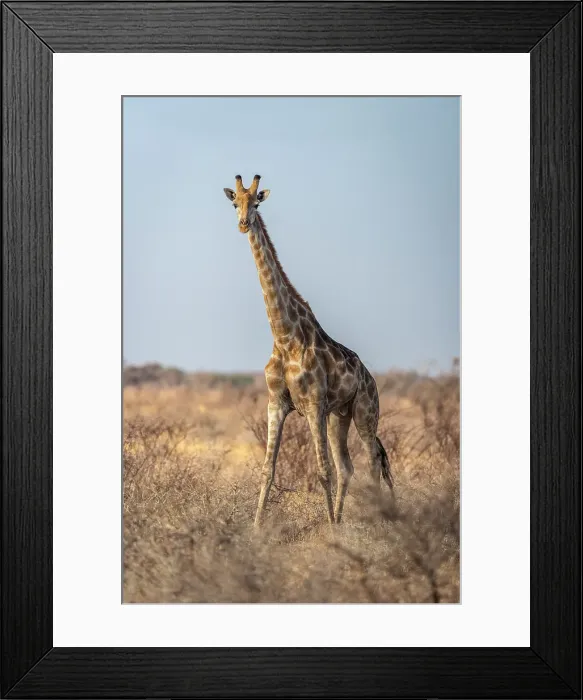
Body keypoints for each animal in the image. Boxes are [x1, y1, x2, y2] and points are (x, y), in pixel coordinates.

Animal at [223, 175, 393, 526]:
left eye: (256, 203)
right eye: (235, 204)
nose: (244, 224)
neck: (284, 336)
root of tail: (369, 377)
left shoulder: (314, 403)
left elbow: (321, 471)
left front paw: (328, 530)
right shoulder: (276, 403)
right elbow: (267, 471)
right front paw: (256, 529)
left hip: (365, 411)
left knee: (372, 462)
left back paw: (375, 521)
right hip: (339, 417)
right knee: (348, 466)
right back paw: (341, 521)